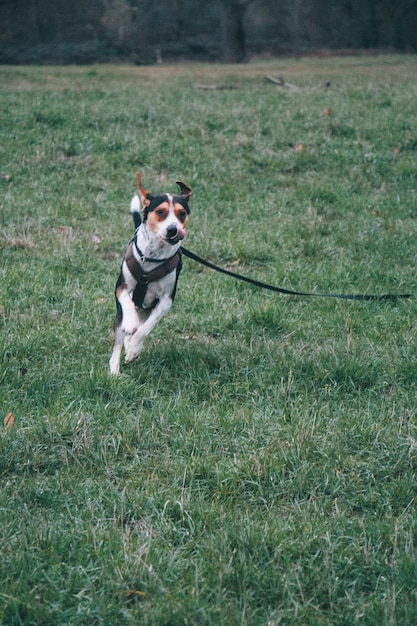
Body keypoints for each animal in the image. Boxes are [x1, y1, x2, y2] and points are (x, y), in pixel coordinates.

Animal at [108, 172, 191, 376]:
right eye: (160, 211)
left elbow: (147, 328)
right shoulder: (121, 288)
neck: (152, 257)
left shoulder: (166, 299)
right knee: (118, 338)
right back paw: (114, 370)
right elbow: (127, 303)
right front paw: (130, 325)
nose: (173, 230)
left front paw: (133, 349)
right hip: (120, 315)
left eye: (182, 213)